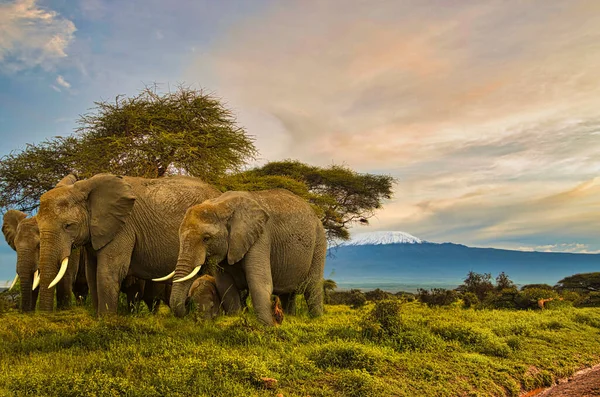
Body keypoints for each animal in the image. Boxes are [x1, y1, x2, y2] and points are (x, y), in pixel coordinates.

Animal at [34, 173, 220, 312]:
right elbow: (92, 274)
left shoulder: (123, 228)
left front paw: (107, 322)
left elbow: (108, 272)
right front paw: (98, 319)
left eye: (68, 226)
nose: (45, 315)